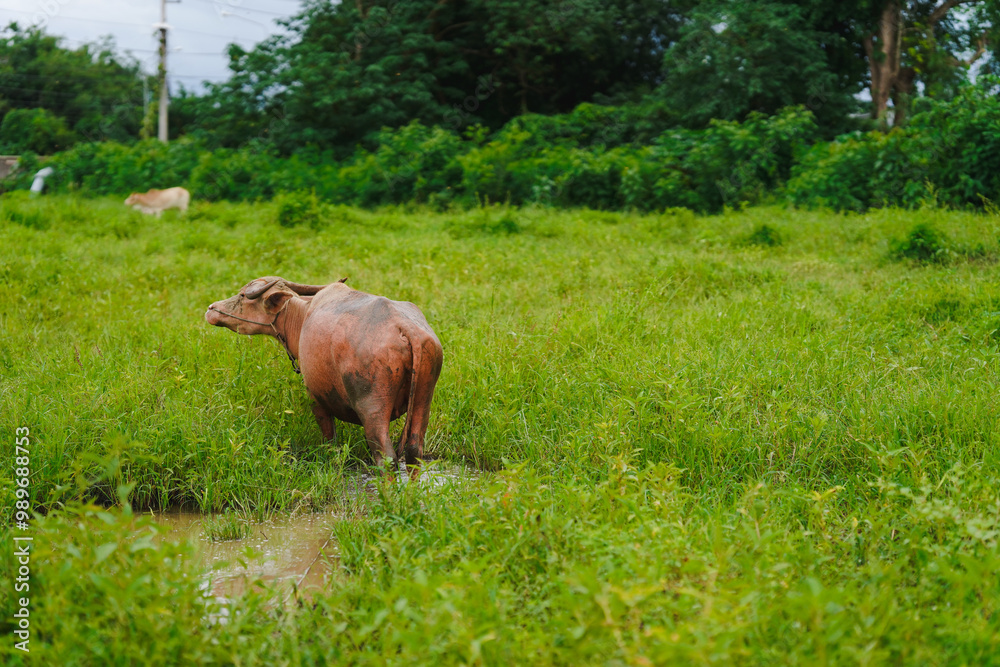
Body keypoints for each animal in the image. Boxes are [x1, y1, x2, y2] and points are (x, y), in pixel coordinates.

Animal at [205, 276, 443, 474]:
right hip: (424, 400)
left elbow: (330, 441)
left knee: (386, 457)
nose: (211, 308)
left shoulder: (316, 398)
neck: (301, 317)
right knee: (414, 452)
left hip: (373, 407)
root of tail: (406, 328)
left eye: (242, 295)